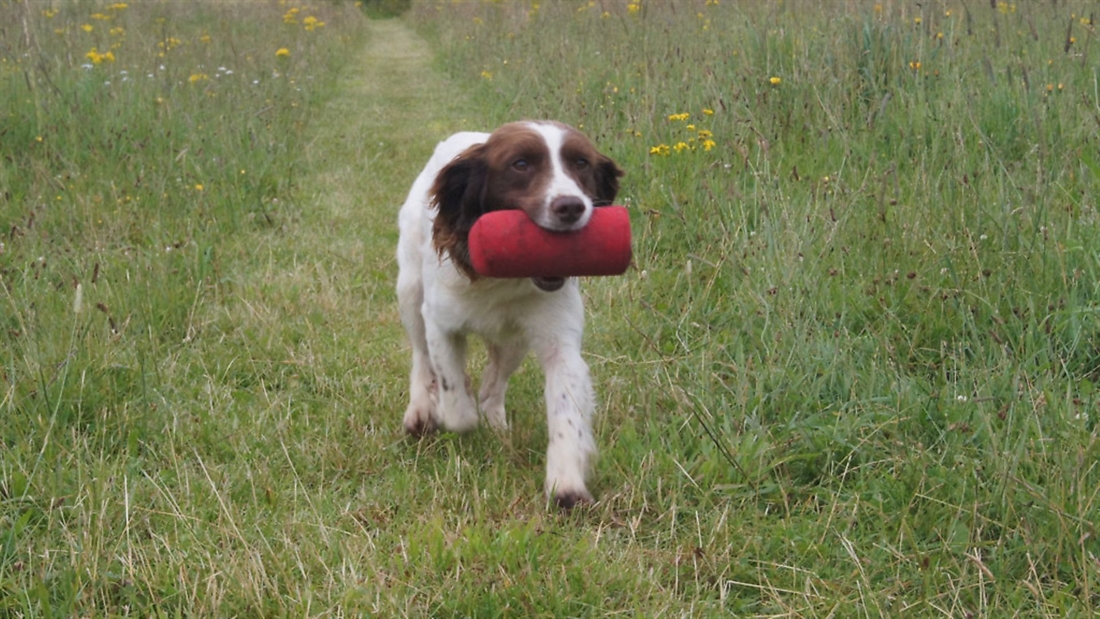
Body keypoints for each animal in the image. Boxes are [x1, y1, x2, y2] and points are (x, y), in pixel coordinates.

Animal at [396, 122, 624, 507]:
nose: (571, 206)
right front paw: (444, 407)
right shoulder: (440, 323)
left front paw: (566, 483)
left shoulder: (559, 343)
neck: (503, 280)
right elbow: (456, 403)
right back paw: (421, 411)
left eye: (581, 162)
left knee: (495, 382)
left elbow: (566, 414)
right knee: (421, 357)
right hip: (410, 291)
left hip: (515, 341)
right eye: (520, 164)